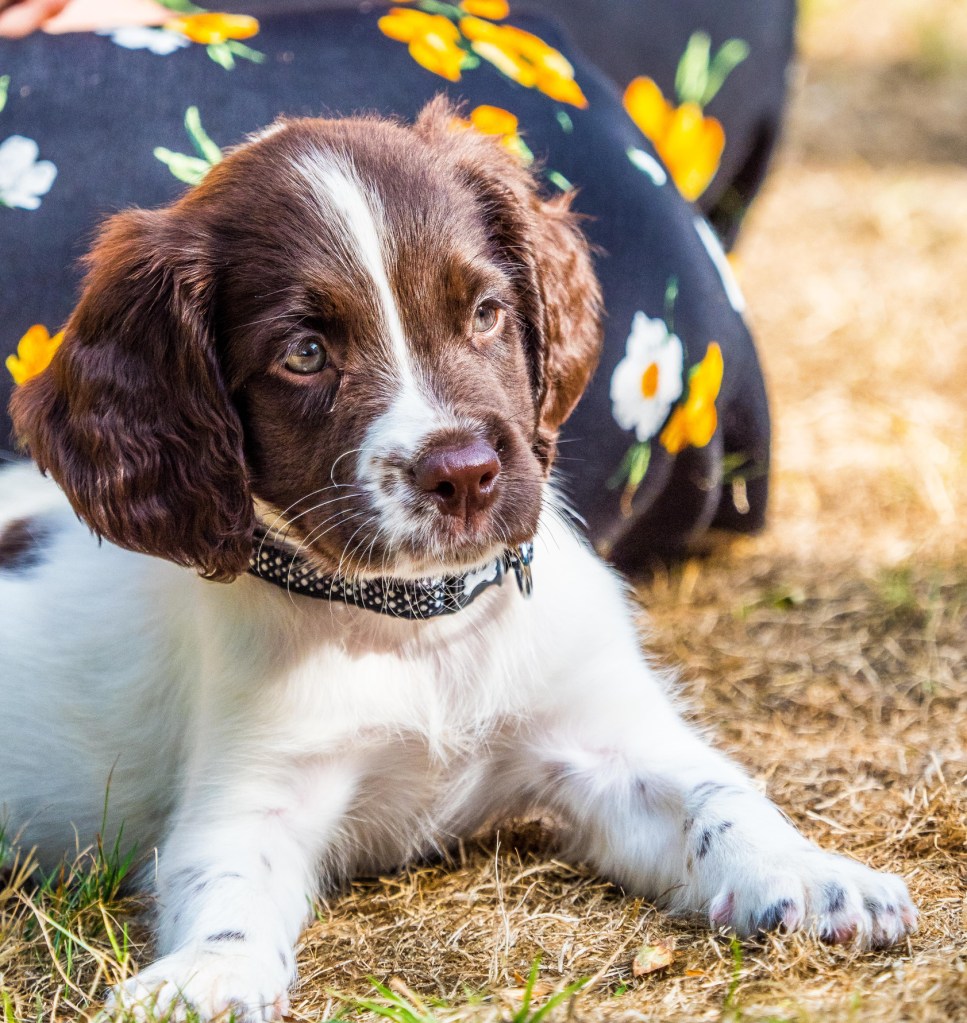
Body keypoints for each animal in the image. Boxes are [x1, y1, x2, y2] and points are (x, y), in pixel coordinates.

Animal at [0, 97, 912, 1023]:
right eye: (304, 353)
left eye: (484, 312)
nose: (465, 473)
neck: (420, 626)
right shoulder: (254, 782)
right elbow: (227, 885)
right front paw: (207, 976)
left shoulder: (603, 738)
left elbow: (718, 795)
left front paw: (811, 871)